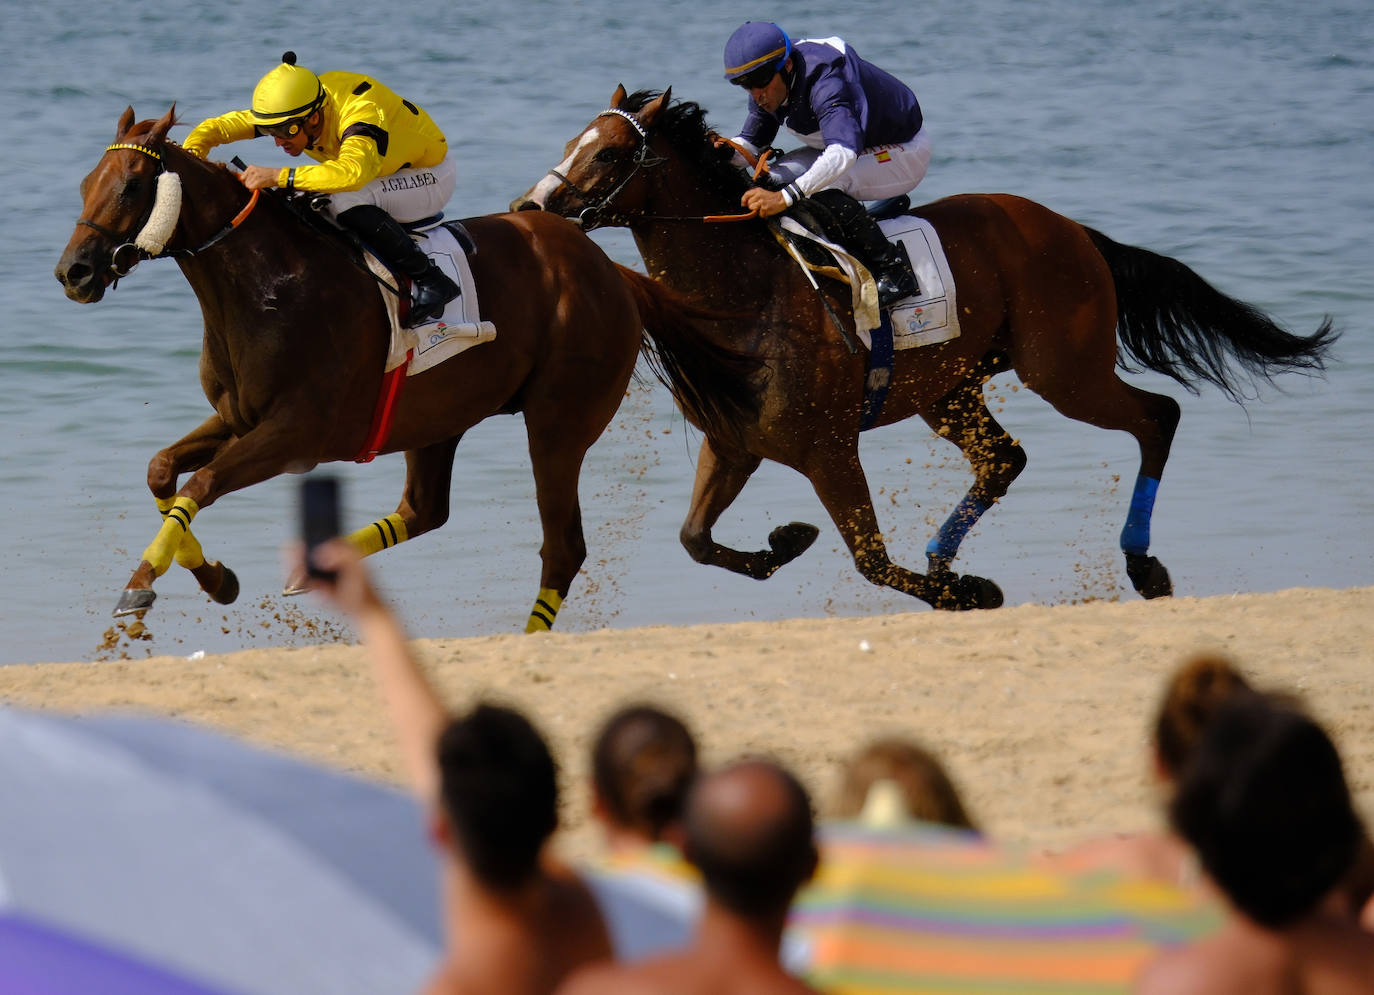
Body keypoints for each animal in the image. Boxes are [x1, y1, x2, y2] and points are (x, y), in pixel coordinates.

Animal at [56, 106, 758, 631]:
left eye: (130, 185)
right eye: (85, 182)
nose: (74, 272)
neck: (264, 284)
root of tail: (610, 270)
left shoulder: (296, 435)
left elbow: (199, 486)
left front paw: (140, 587)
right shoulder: (239, 417)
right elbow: (162, 471)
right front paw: (216, 578)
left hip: (558, 424)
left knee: (563, 546)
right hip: (438, 416)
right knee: (425, 509)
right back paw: (314, 569)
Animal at [512, 87, 1339, 610]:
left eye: (609, 154)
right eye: (572, 142)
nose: (530, 205)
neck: (743, 295)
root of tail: (1070, 228)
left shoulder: (829, 448)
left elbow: (871, 559)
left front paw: (968, 594)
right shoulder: (736, 442)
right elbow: (693, 539)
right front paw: (786, 541)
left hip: (1063, 370)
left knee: (1156, 416)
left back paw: (1139, 561)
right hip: (951, 387)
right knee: (1004, 458)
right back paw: (948, 551)